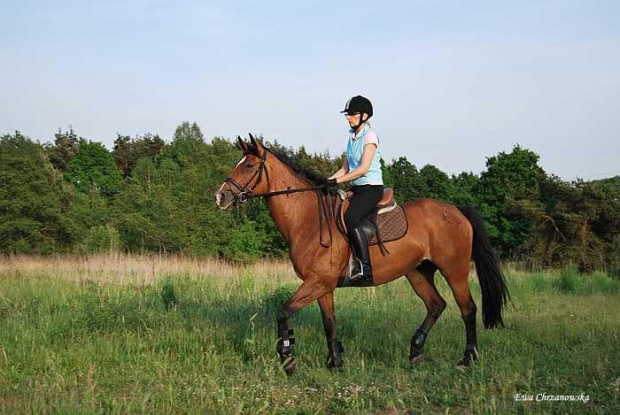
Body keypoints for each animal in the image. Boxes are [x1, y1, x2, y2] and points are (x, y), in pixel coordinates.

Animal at [214, 135, 508, 376]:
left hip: (454, 270)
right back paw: (415, 352)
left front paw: (288, 360)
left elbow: (283, 312)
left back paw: (468, 359)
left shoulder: (317, 282)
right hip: (418, 272)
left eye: (248, 166)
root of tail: (456, 210)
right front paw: (335, 361)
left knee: (467, 308)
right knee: (436, 305)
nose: (220, 196)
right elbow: (329, 322)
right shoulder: (323, 285)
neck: (308, 220)